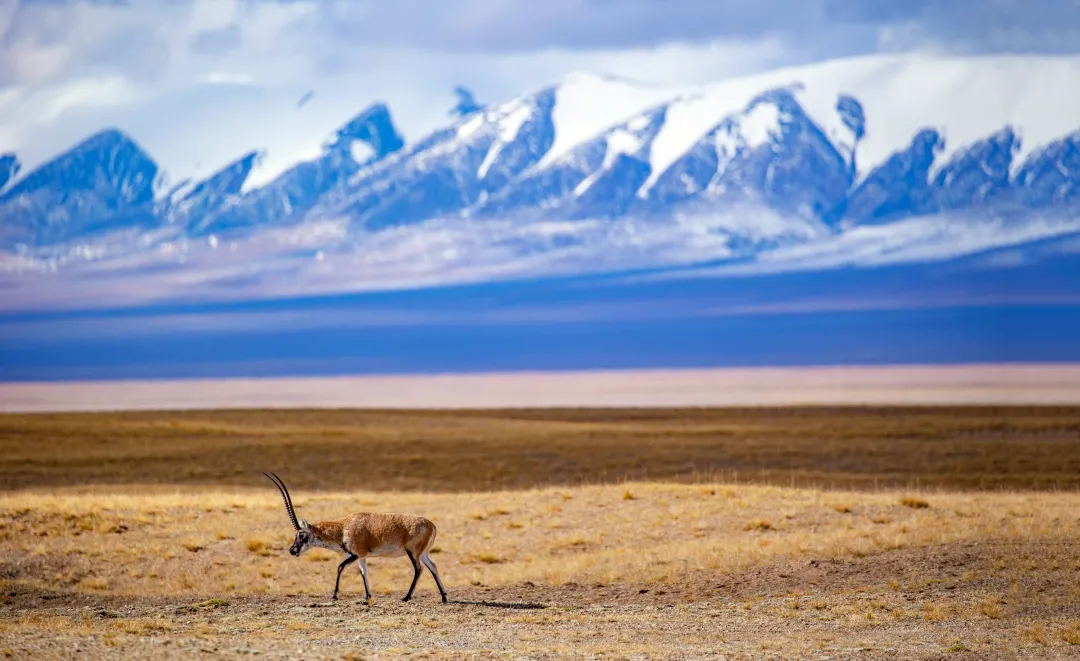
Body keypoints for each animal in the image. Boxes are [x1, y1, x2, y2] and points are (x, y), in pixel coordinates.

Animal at [262, 470, 447, 604]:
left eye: (301, 534)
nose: (292, 550)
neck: (343, 527)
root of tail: (432, 525)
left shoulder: (355, 554)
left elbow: (340, 567)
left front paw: (334, 596)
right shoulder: (361, 556)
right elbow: (364, 572)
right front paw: (367, 597)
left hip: (413, 553)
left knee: (419, 569)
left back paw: (407, 597)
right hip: (422, 553)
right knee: (433, 566)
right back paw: (444, 597)